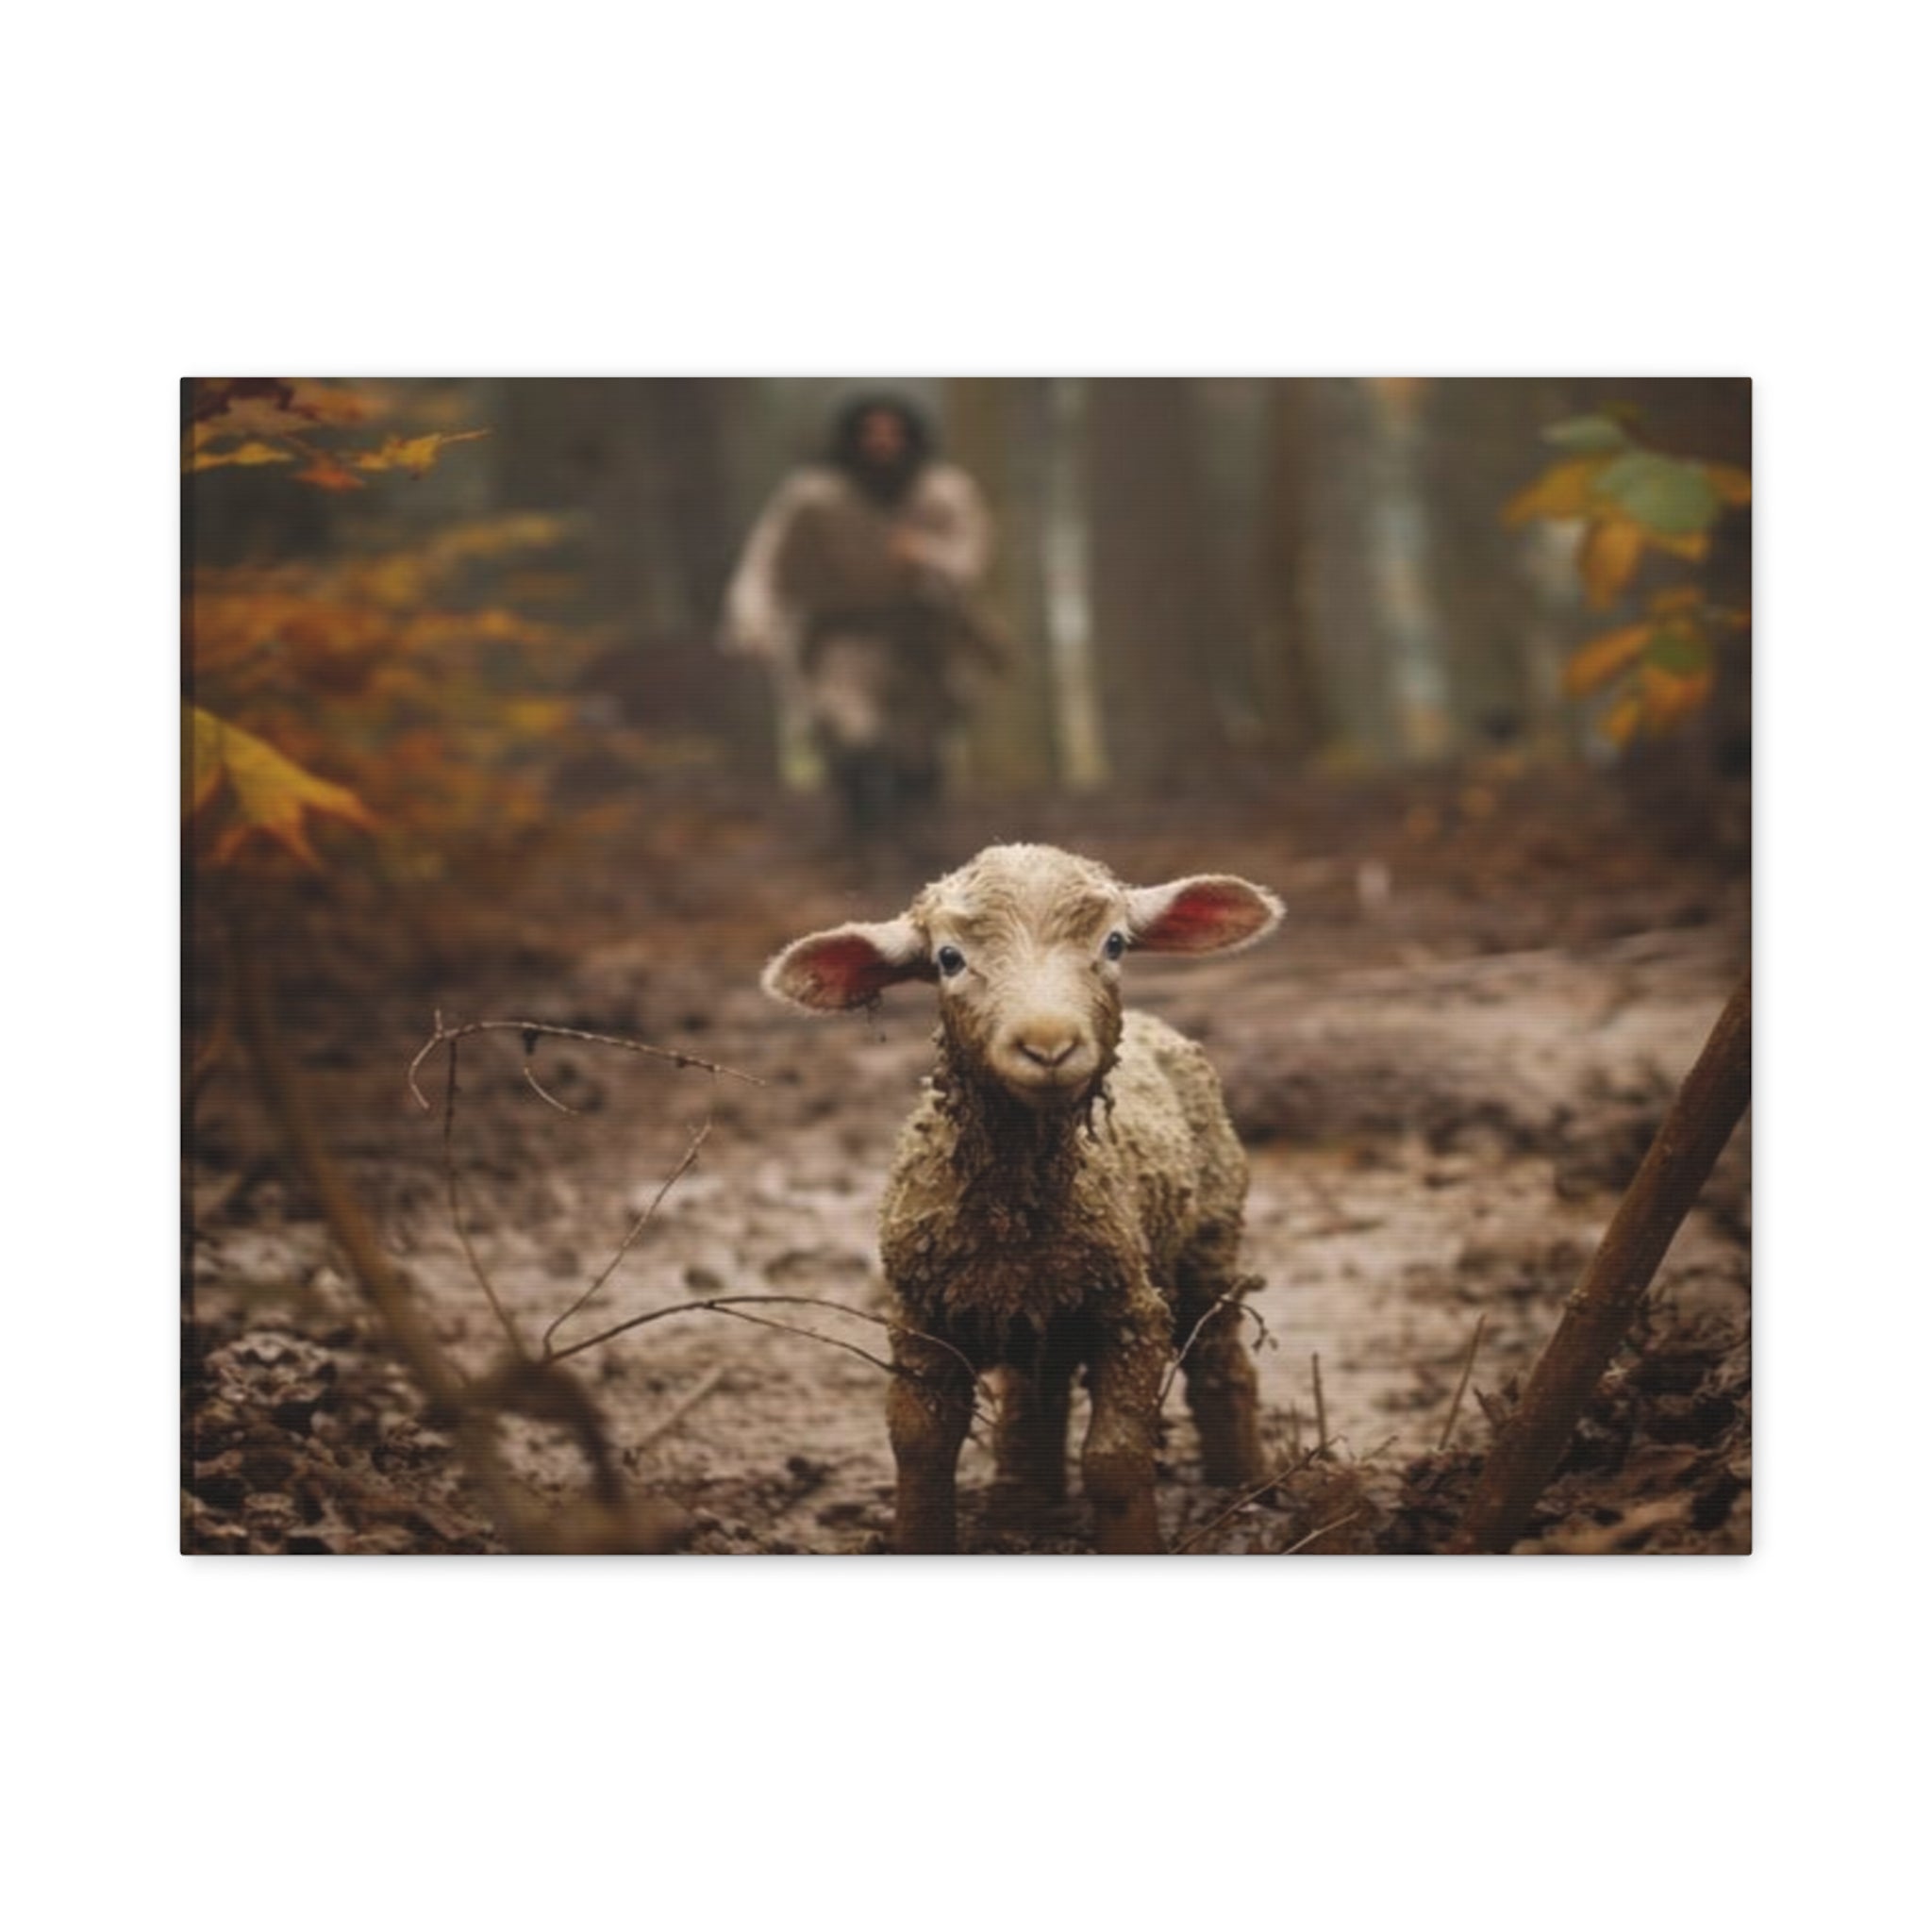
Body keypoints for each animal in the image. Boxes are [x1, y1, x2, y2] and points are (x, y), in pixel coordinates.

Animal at [762, 842, 1282, 1553]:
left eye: (1115, 943)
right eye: (949, 959)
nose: (1048, 1045)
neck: (1016, 1214)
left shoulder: (1132, 1312)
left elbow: (1114, 1458)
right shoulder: (919, 1318)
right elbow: (920, 1448)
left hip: (1210, 1239)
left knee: (1220, 1363)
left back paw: (1246, 1488)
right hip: (1047, 1313)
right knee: (1038, 1394)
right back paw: (1025, 1502)